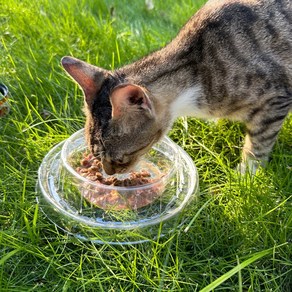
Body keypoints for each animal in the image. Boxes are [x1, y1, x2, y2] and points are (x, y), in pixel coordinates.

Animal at [60, 0, 290, 173]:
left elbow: (259, 142)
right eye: (93, 154)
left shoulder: (275, 98)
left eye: (120, 159)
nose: (108, 173)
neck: (194, 68)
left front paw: (247, 173)